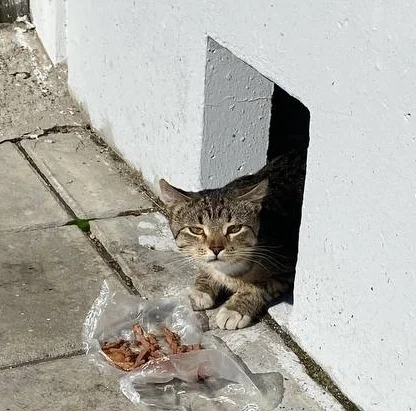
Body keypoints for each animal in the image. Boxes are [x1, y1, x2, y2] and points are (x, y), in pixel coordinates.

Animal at [158, 150, 306, 330]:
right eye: (196, 230)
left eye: (234, 229)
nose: (216, 249)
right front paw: (201, 289)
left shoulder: (288, 270)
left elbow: (259, 286)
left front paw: (235, 309)